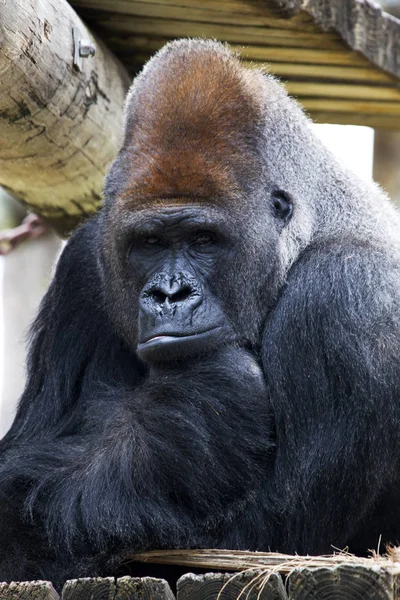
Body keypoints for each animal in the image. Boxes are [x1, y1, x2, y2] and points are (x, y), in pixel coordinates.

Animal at [0, 37, 400, 584]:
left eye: (204, 239)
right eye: (149, 243)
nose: (170, 294)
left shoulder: (341, 293)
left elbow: (276, 536)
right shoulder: (84, 263)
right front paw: (191, 411)